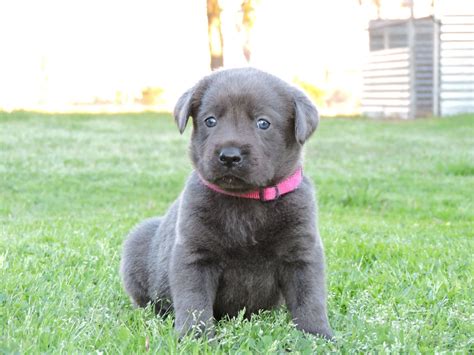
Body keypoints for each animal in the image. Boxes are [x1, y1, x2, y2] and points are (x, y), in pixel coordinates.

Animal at [119, 68, 334, 340]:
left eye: (263, 123)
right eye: (210, 120)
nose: (229, 156)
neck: (246, 201)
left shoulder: (302, 252)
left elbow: (310, 298)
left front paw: (317, 336)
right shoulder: (194, 255)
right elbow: (194, 303)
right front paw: (196, 338)